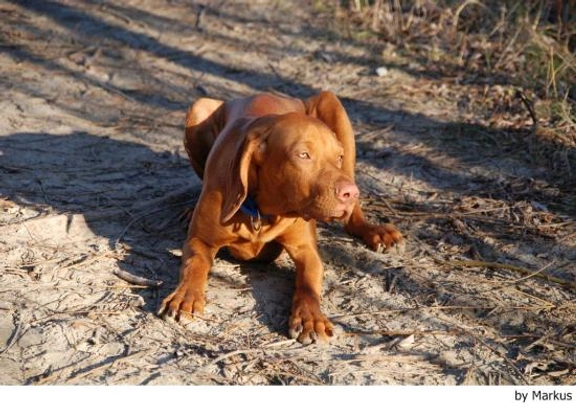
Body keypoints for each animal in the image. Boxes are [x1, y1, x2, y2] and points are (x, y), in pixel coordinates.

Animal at [155, 91, 402, 344]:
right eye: (303, 155)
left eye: (338, 157)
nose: (350, 193)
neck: (261, 212)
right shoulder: (201, 241)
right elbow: (194, 265)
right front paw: (186, 296)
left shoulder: (307, 251)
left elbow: (308, 284)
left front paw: (311, 318)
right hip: (199, 109)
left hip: (332, 104)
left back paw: (374, 230)